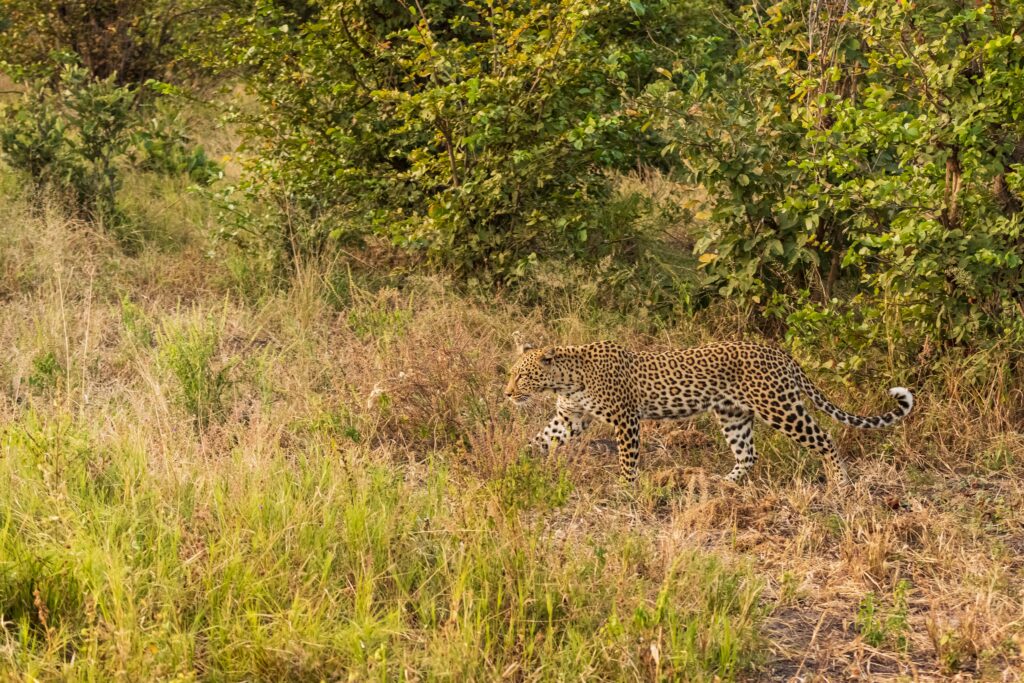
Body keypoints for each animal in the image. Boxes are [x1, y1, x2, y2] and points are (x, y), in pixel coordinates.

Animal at [503, 339, 913, 485]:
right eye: (510, 373)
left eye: (521, 375)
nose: (507, 394)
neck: (566, 379)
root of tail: (780, 352)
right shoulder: (569, 418)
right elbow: (541, 439)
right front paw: (514, 464)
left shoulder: (626, 419)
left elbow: (627, 459)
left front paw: (625, 489)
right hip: (732, 414)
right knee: (748, 454)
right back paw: (724, 485)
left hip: (779, 407)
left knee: (825, 439)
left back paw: (841, 487)